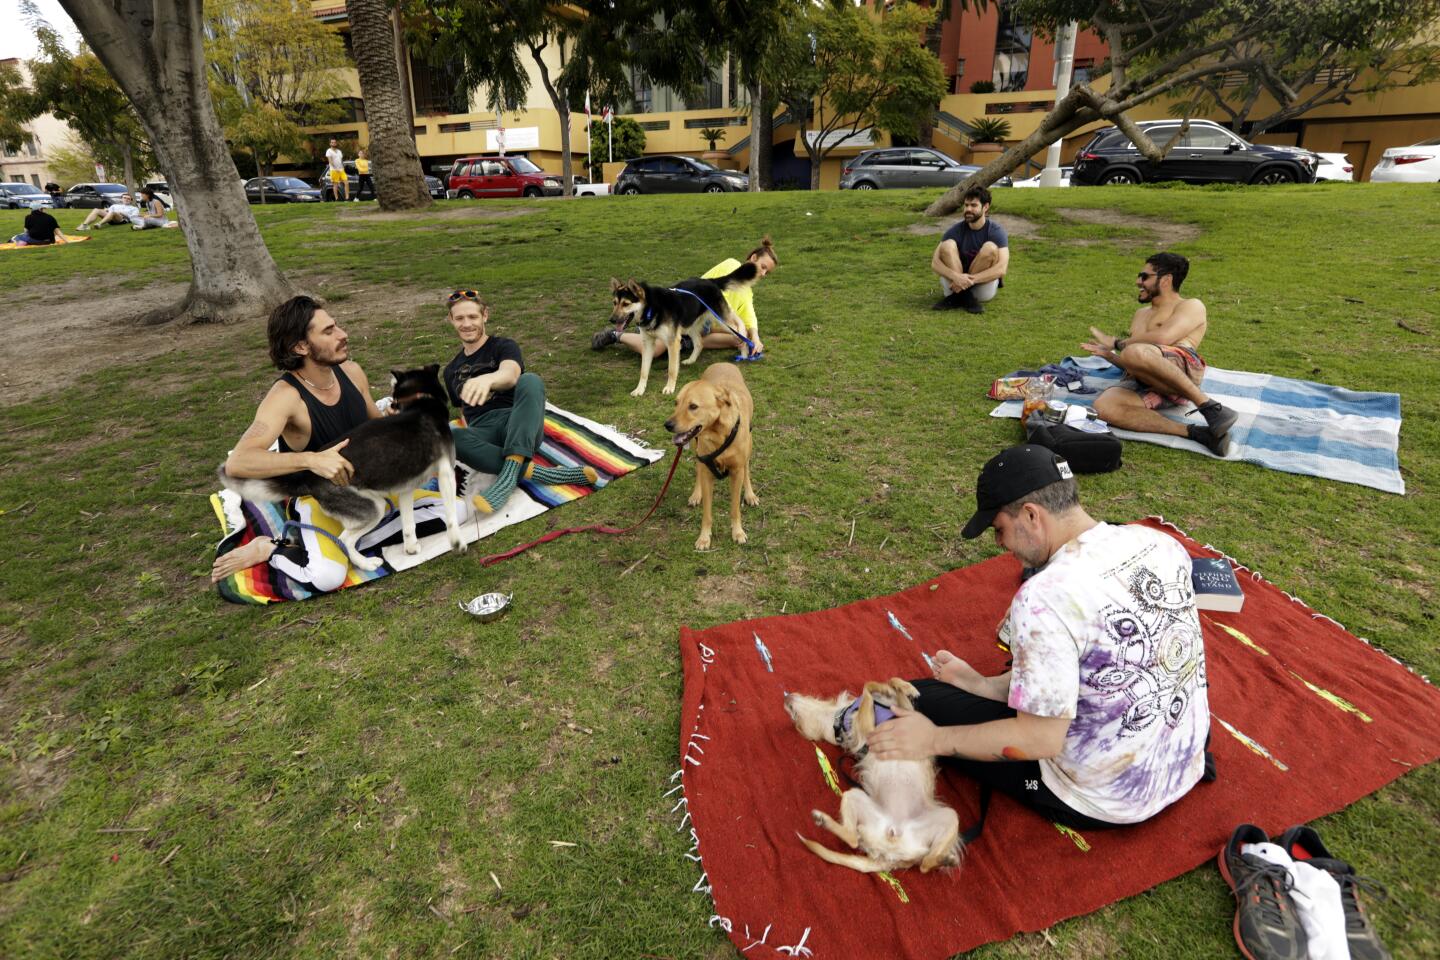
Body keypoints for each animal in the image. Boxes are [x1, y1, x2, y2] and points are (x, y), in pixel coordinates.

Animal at [216, 362, 463, 569]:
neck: (422, 402)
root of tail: (308, 476)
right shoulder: (446, 474)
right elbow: (451, 515)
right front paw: (457, 542)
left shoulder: (405, 488)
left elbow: (409, 525)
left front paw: (411, 548)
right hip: (374, 508)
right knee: (344, 540)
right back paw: (366, 564)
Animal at [610, 259, 766, 397]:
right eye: (615, 303)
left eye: (626, 304)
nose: (611, 320)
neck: (652, 307)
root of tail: (710, 281)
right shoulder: (648, 343)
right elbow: (643, 371)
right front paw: (640, 389)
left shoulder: (672, 343)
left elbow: (672, 369)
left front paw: (670, 387)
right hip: (692, 325)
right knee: (700, 342)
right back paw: (691, 360)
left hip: (721, 320)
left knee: (740, 327)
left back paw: (744, 352)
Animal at [662, 364, 760, 552]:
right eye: (676, 403)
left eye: (693, 406)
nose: (667, 425)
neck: (718, 434)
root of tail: (722, 362)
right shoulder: (707, 472)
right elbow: (707, 513)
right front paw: (704, 538)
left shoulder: (736, 472)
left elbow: (735, 508)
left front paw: (737, 532)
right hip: (696, 445)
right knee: (698, 469)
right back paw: (696, 494)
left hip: (749, 446)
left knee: (747, 468)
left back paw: (750, 494)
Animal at [783, 679, 961, 875]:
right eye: (796, 723)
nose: (786, 698)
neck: (839, 716)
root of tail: (887, 856)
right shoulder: (869, 729)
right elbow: (868, 686)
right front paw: (887, 688)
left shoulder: (908, 714)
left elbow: (892, 684)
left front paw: (906, 688)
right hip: (853, 796)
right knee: (854, 839)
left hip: (950, 818)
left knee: (925, 864)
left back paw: (946, 860)